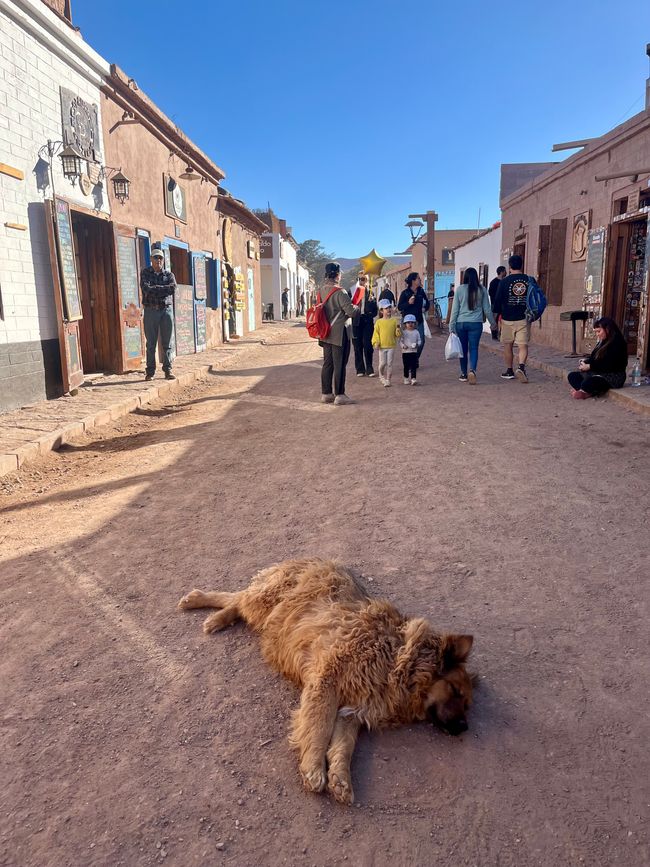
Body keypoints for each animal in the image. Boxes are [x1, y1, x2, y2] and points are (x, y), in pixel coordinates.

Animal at [177, 560, 470, 804]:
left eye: (466, 704)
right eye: (455, 691)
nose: (465, 728)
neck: (398, 659)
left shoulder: (354, 709)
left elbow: (344, 745)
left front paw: (340, 779)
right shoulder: (327, 681)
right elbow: (318, 727)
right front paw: (313, 768)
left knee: (239, 601)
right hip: (269, 599)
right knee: (238, 597)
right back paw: (201, 603)